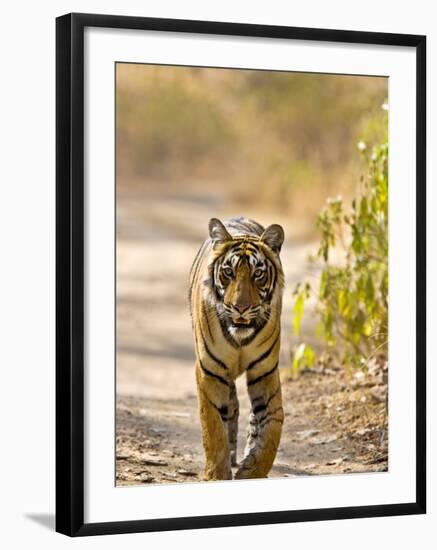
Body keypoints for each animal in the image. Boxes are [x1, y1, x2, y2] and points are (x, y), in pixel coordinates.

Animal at [188, 218, 284, 480]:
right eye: (228, 272)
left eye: (258, 274)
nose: (240, 308)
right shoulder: (209, 372)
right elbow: (212, 427)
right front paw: (216, 475)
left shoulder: (265, 372)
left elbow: (273, 425)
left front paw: (252, 470)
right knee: (229, 408)